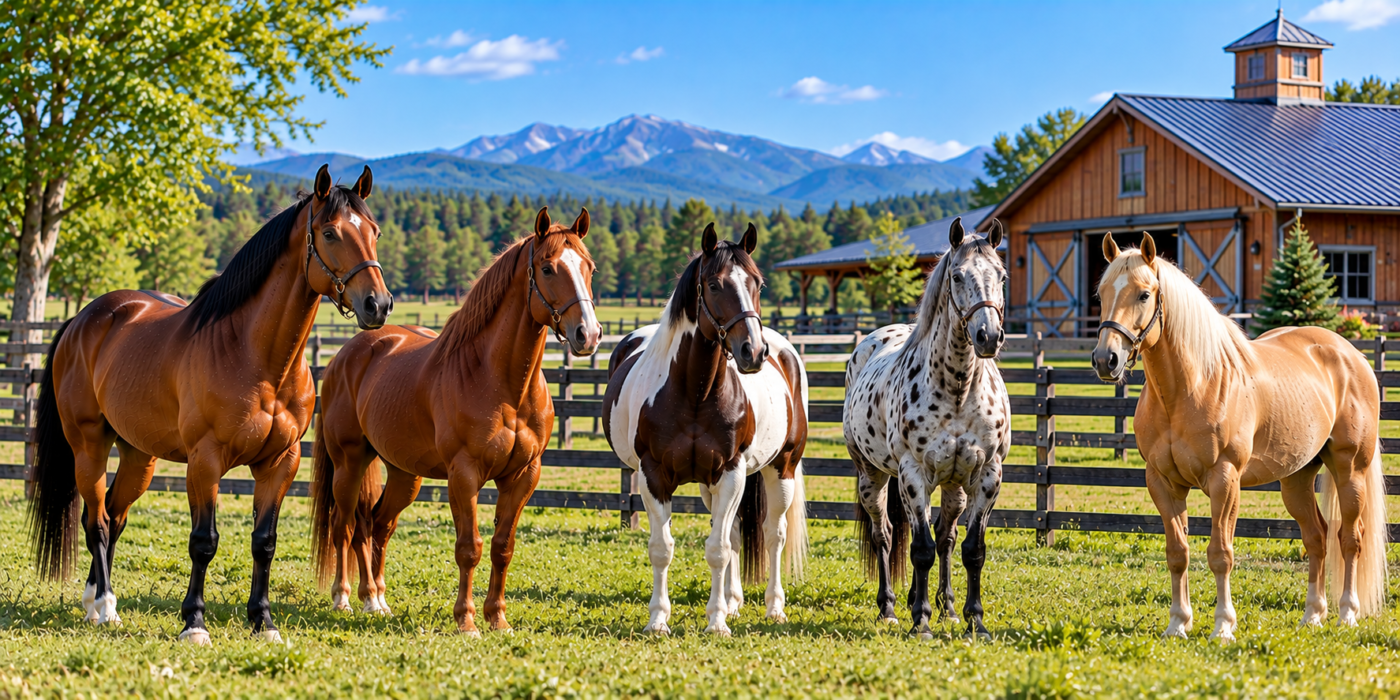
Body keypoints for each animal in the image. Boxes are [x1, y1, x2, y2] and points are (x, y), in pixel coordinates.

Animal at [27, 165, 391, 645]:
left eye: (374, 232)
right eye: (330, 233)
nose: (378, 304)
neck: (255, 357)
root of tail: (83, 319)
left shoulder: (281, 463)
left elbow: (264, 542)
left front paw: (263, 622)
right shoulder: (205, 462)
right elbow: (204, 541)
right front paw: (194, 623)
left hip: (138, 457)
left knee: (113, 517)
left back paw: (93, 603)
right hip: (87, 447)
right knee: (99, 523)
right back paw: (105, 607)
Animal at [310, 207, 600, 635]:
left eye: (589, 268)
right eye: (548, 269)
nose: (589, 334)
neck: (502, 383)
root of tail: (350, 353)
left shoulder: (523, 475)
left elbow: (502, 547)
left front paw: (498, 618)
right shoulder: (464, 475)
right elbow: (469, 548)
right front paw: (466, 620)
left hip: (404, 474)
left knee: (378, 525)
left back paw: (376, 600)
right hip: (349, 463)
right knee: (345, 526)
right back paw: (345, 597)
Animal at [602, 222, 809, 637]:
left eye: (758, 283)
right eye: (714, 284)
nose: (753, 352)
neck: (695, 392)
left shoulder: (731, 472)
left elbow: (718, 549)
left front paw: (716, 623)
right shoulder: (654, 475)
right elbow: (663, 548)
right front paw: (658, 620)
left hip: (781, 468)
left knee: (773, 535)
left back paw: (773, 607)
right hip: (710, 484)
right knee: (734, 532)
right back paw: (733, 602)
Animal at [844, 217, 1010, 639]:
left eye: (1001, 276)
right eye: (957, 276)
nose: (988, 336)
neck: (958, 391)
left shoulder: (988, 475)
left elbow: (972, 549)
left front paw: (974, 619)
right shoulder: (913, 473)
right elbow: (919, 550)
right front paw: (920, 620)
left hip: (953, 487)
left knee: (946, 538)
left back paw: (946, 607)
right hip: (873, 477)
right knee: (885, 535)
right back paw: (889, 607)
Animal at [1091, 232, 1387, 640]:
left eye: (1144, 294)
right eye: (1102, 292)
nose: (1106, 360)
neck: (1190, 387)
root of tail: (1351, 355)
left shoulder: (1224, 480)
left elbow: (1221, 553)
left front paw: (1223, 626)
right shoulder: (1163, 482)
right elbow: (1177, 552)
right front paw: (1178, 623)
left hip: (1350, 470)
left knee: (1350, 538)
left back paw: (1346, 613)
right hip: (1296, 479)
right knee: (1316, 537)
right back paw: (1312, 614)